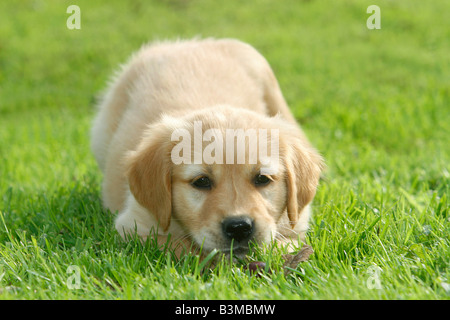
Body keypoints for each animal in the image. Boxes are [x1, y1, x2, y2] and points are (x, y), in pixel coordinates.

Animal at [91, 38, 324, 258]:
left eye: (262, 179)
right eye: (201, 181)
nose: (239, 227)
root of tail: (192, 43)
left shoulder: (297, 226)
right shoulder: (134, 226)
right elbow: (186, 247)